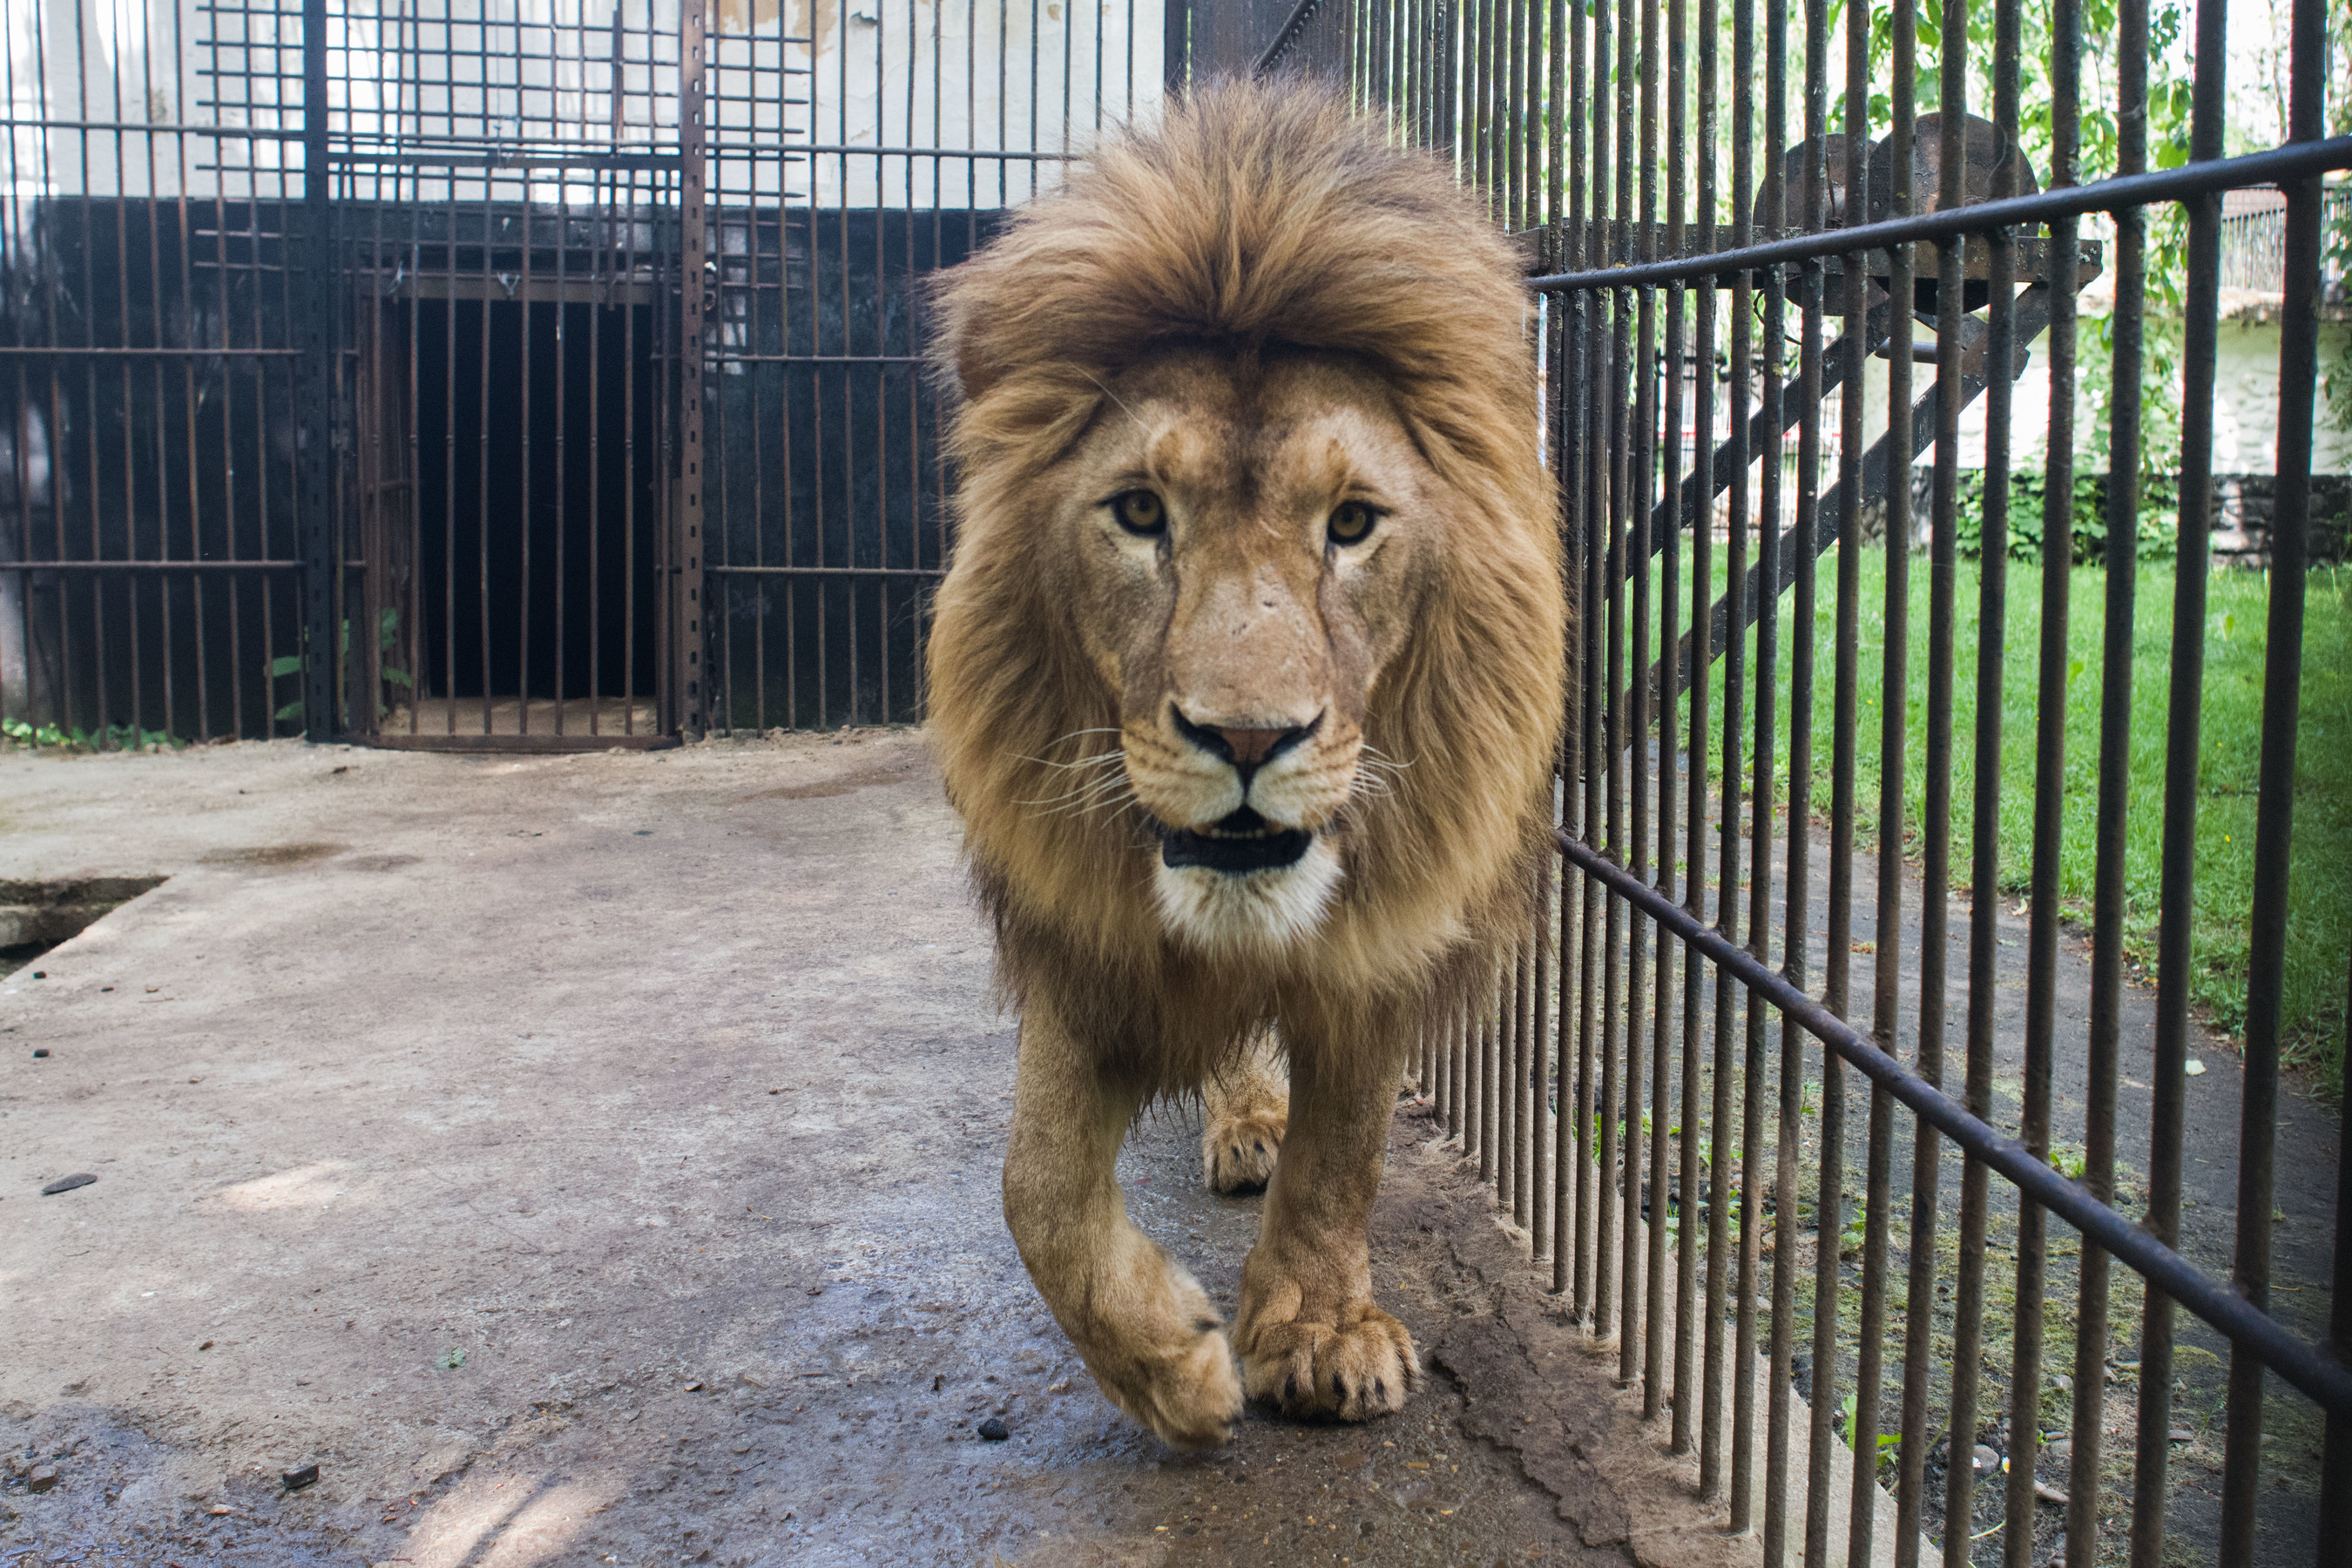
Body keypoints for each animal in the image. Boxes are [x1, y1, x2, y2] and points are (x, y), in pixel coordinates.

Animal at [925, 81, 1564, 1451]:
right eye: (1139, 512)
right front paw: (1172, 1367)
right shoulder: (1088, 936)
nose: (1251, 738)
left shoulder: (1385, 937)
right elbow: (1037, 1185)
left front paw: (1316, 1336)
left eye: (1354, 524)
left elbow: (1346, 1150)